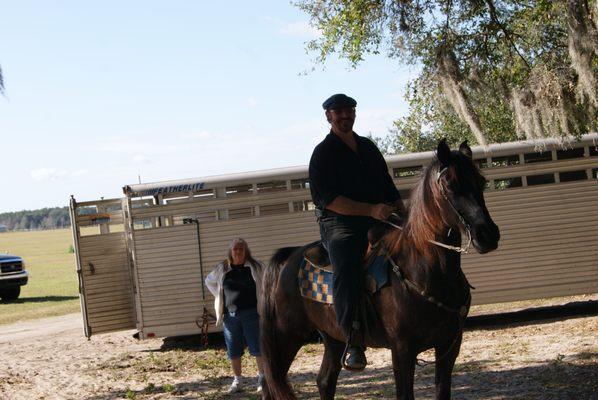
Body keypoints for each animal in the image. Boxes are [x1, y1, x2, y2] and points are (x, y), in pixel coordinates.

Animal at [262, 139, 502, 398]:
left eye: (481, 181)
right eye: (450, 184)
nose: (487, 235)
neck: (424, 272)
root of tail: (291, 257)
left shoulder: (449, 347)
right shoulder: (402, 351)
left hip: (333, 338)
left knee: (325, 381)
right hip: (286, 338)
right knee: (270, 385)